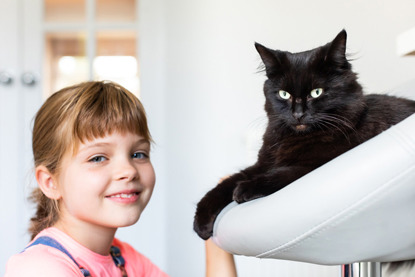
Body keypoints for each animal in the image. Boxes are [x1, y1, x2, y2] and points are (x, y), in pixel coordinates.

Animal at [193, 29, 415, 246]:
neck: (294, 139)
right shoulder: (262, 164)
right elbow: (226, 183)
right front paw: (201, 222)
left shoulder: (314, 166)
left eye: (316, 92)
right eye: (284, 94)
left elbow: (280, 175)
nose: (298, 114)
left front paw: (244, 190)